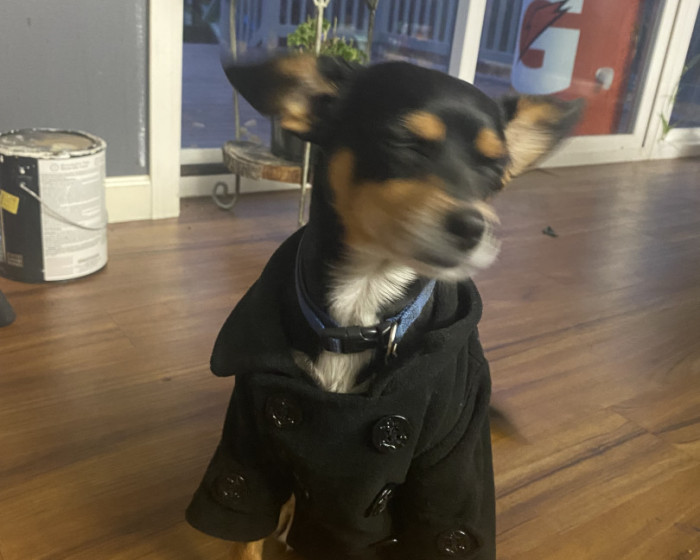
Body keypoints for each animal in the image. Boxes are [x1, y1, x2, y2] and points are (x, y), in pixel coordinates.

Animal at [186, 54, 582, 560]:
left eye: (497, 170)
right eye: (403, 142)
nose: (474, 227)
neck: (361, 310)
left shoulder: (449, 469)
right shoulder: (248, 451)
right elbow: (246, 533)